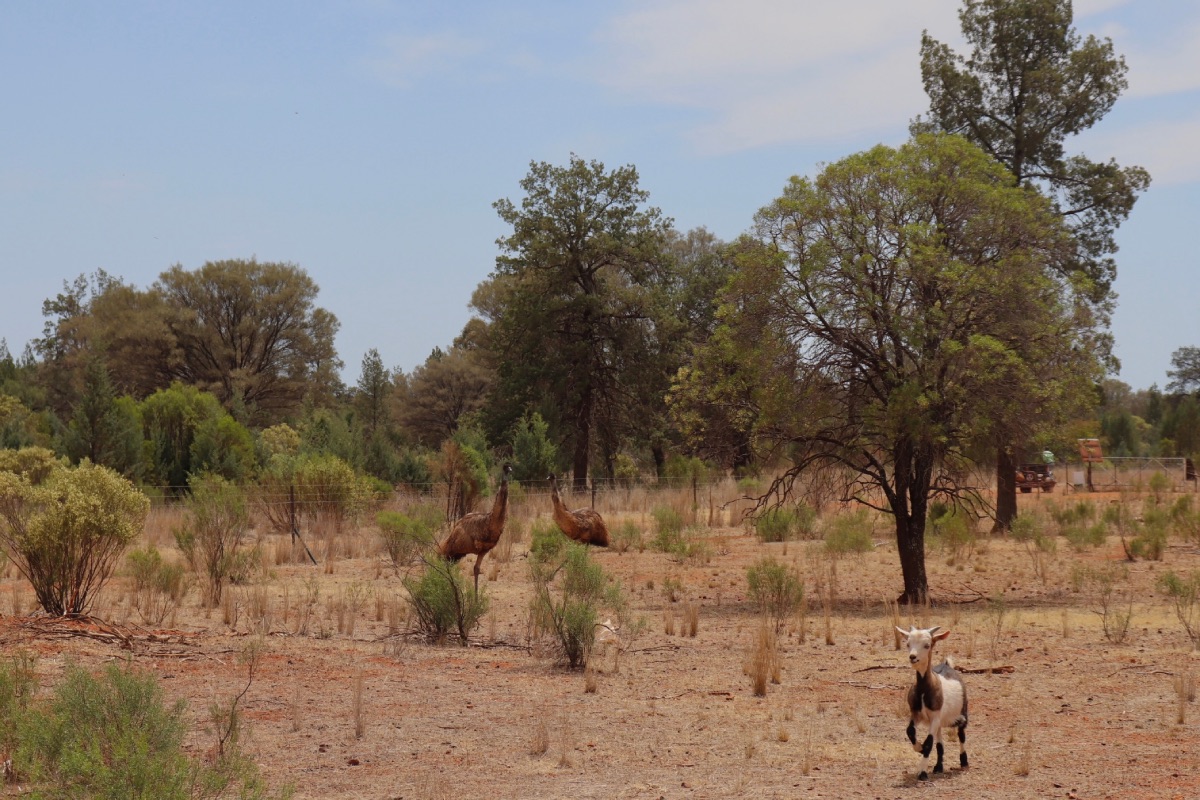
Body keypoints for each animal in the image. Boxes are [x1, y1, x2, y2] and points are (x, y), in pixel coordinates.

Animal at [897, 623, 969, 782]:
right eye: (908, 643)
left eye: (927, 645)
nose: (913, 657)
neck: (925, 690)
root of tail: (948, 665)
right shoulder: (916, 714)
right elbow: (910, 731)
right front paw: (919, 748)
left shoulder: (935, 716)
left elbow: (930, 742)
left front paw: (922, 773)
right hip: (939, 721)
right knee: (940, 742)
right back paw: (938, 767)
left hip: (962, 712)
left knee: (961, 734)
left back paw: (964, 762)